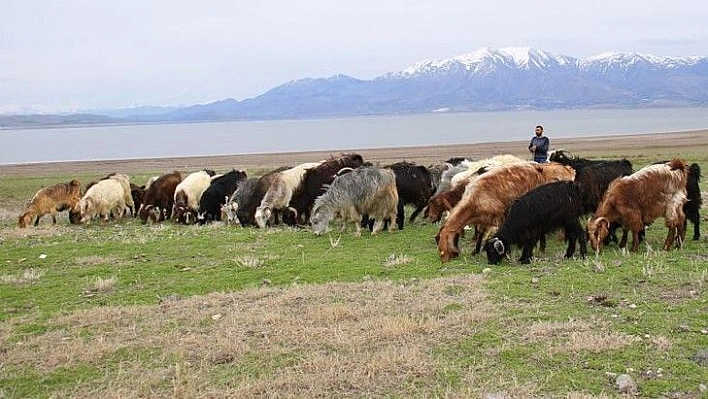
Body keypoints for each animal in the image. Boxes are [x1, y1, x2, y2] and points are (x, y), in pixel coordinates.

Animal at [434, 162, 580, 262]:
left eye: (442, 249)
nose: (444, 260)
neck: (474, 200)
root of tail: (538, 170)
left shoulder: (500, 215)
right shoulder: (485, 219)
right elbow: (480, 233)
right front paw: (475, 251)